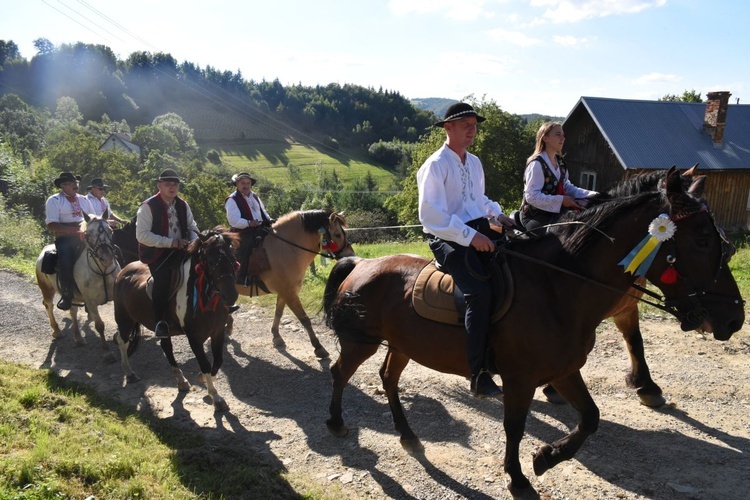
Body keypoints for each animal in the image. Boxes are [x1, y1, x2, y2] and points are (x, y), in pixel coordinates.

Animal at [36, 209, 122, 362]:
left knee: (73, 312)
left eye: (110, 231)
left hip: (72, 296)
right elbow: (99, 325)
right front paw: (106, 351)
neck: (103, 271)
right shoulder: (91, 302)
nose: (106, 258)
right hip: (46, 288)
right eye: (87, 234)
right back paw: (57, 331)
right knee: (49, 306)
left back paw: (78, 338)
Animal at [112, 227, 238, 410]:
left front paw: (203, 380)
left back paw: (181, 380)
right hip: (124, 318)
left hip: (162, 328)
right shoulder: (194, 337)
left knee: (166, 347)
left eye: (233, 258)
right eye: (211, 261)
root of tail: (124, 270)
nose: (231, 296)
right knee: (123, 342)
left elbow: (218, 362)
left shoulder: (217, 332)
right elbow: (205, 364)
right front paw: (216, 397)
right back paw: (129, 373)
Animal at [229, 208, 356, 360]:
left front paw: (277, 337)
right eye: (337, 234)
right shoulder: (289, 293)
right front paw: (318, 347)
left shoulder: (285, 292)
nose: (350, 255)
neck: (285, 248)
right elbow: (304, 319)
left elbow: (278, 313)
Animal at [324, 170, 748, 498]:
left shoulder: (564, 370)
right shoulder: (520, 378)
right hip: (359, 343)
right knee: (339, 373)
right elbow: (515, 427)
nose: (733, 319)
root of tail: (360, 263)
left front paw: (546, 458)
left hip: (402, 345)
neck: (557, 287)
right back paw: (336, 422)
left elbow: (591, 417)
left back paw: (408, 436)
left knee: (387, 378)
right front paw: (518, 479)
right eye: (702, 239)